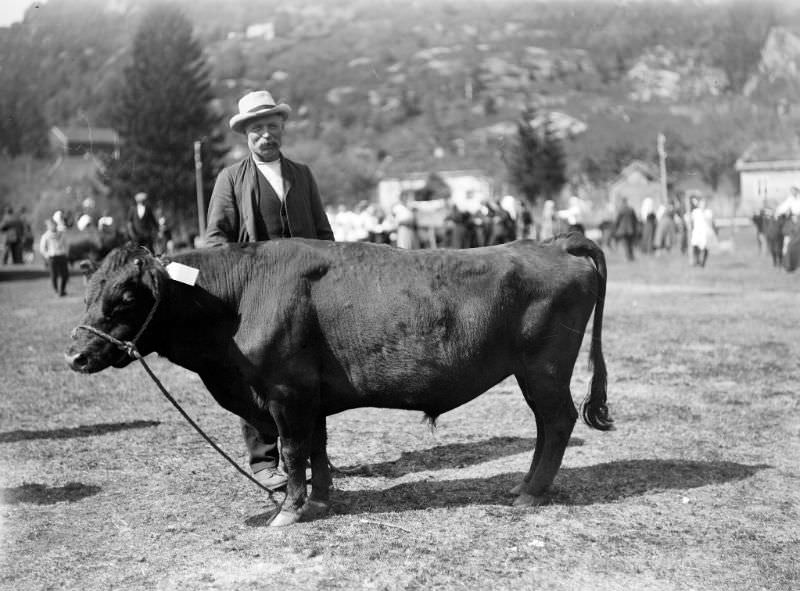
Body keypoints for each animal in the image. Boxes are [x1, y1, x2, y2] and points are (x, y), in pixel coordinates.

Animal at [67, 234, 612, 524]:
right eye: (88, 290)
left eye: (126, 297)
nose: (75, 354)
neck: (240, 297)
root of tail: (552, 242)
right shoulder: (311, 396)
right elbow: (317, 449)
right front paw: (319, 500)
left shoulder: (285, 392)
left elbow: (292, 450)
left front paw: (288, 511)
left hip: (542, 370)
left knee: (555, 423)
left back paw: (530, 492)